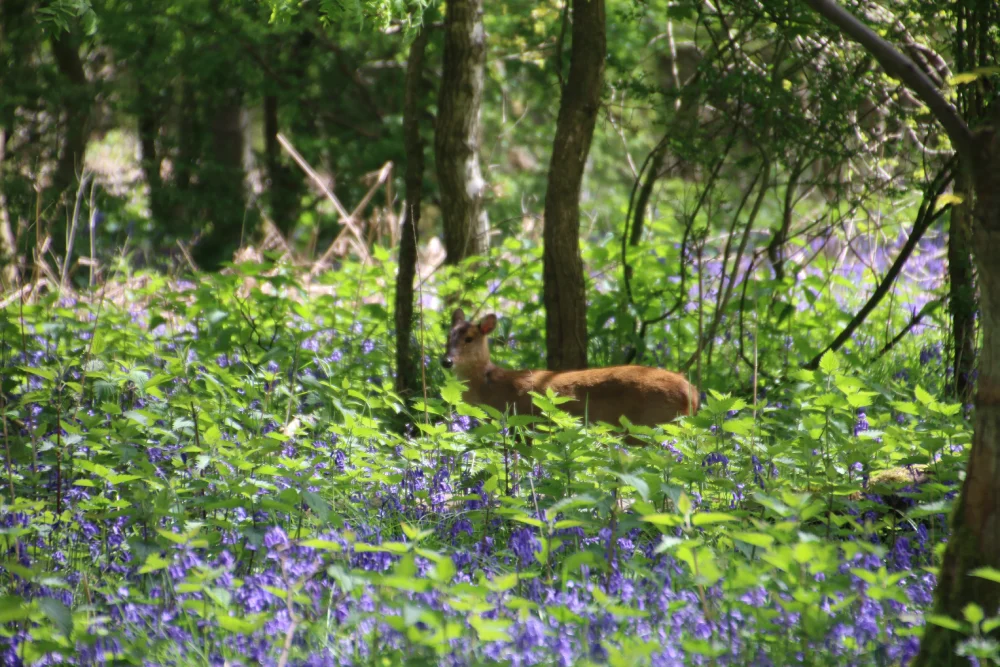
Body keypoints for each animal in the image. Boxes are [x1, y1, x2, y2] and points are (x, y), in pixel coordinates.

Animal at [442, 308, 700, 438]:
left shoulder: (521, 425)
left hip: (655, 426)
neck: (489, 386)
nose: (446, 361)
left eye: (469, 338)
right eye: (448, 336)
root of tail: (693, 394)